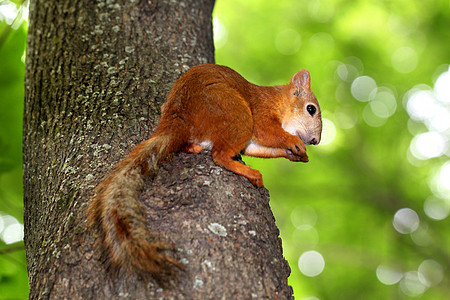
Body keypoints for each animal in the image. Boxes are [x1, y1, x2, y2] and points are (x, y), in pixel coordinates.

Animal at [86, 63, 322, 282]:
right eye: (311, 109)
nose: (315, 141)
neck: (278, 101)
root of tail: (178, 118)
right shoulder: (261, 112)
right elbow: (268, 132)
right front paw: (293, 143)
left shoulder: (252, 143)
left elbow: (259, 147)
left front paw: (296, 155)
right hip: (236, 113)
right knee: (219, 154)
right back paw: (249, 173)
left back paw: (196, 148)